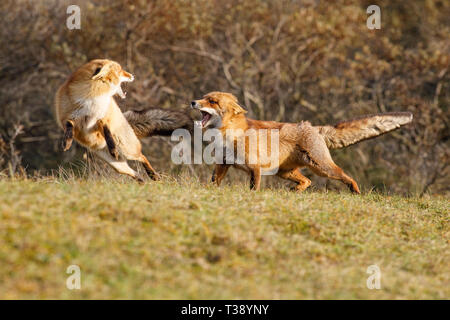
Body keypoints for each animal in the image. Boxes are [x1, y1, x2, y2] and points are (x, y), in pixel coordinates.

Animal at [54, 58, 192, 181]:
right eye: (120, 70)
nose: (132, 75)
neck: (91, 98)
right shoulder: (66, 117)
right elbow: (69, 124)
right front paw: (67, 141)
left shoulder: (102, 117)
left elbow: (106, 129)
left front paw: (112, 147)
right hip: (117, 165)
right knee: (135, 173)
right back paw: (141, 181)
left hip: (128, 151)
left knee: (142, 156)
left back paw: (153, 175)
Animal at [190, 91, 412, 194]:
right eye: (203, 97)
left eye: (212, 101)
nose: (192, 101)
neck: (229, 136)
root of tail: (313, 126)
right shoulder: (222, 164)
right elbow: (213, 182)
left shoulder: (255, 168)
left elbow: (254, 188)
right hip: (284, 172)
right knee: (308, 181)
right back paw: (296, 191)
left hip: (322, 167)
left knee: (344, 175)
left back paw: (356, 190)